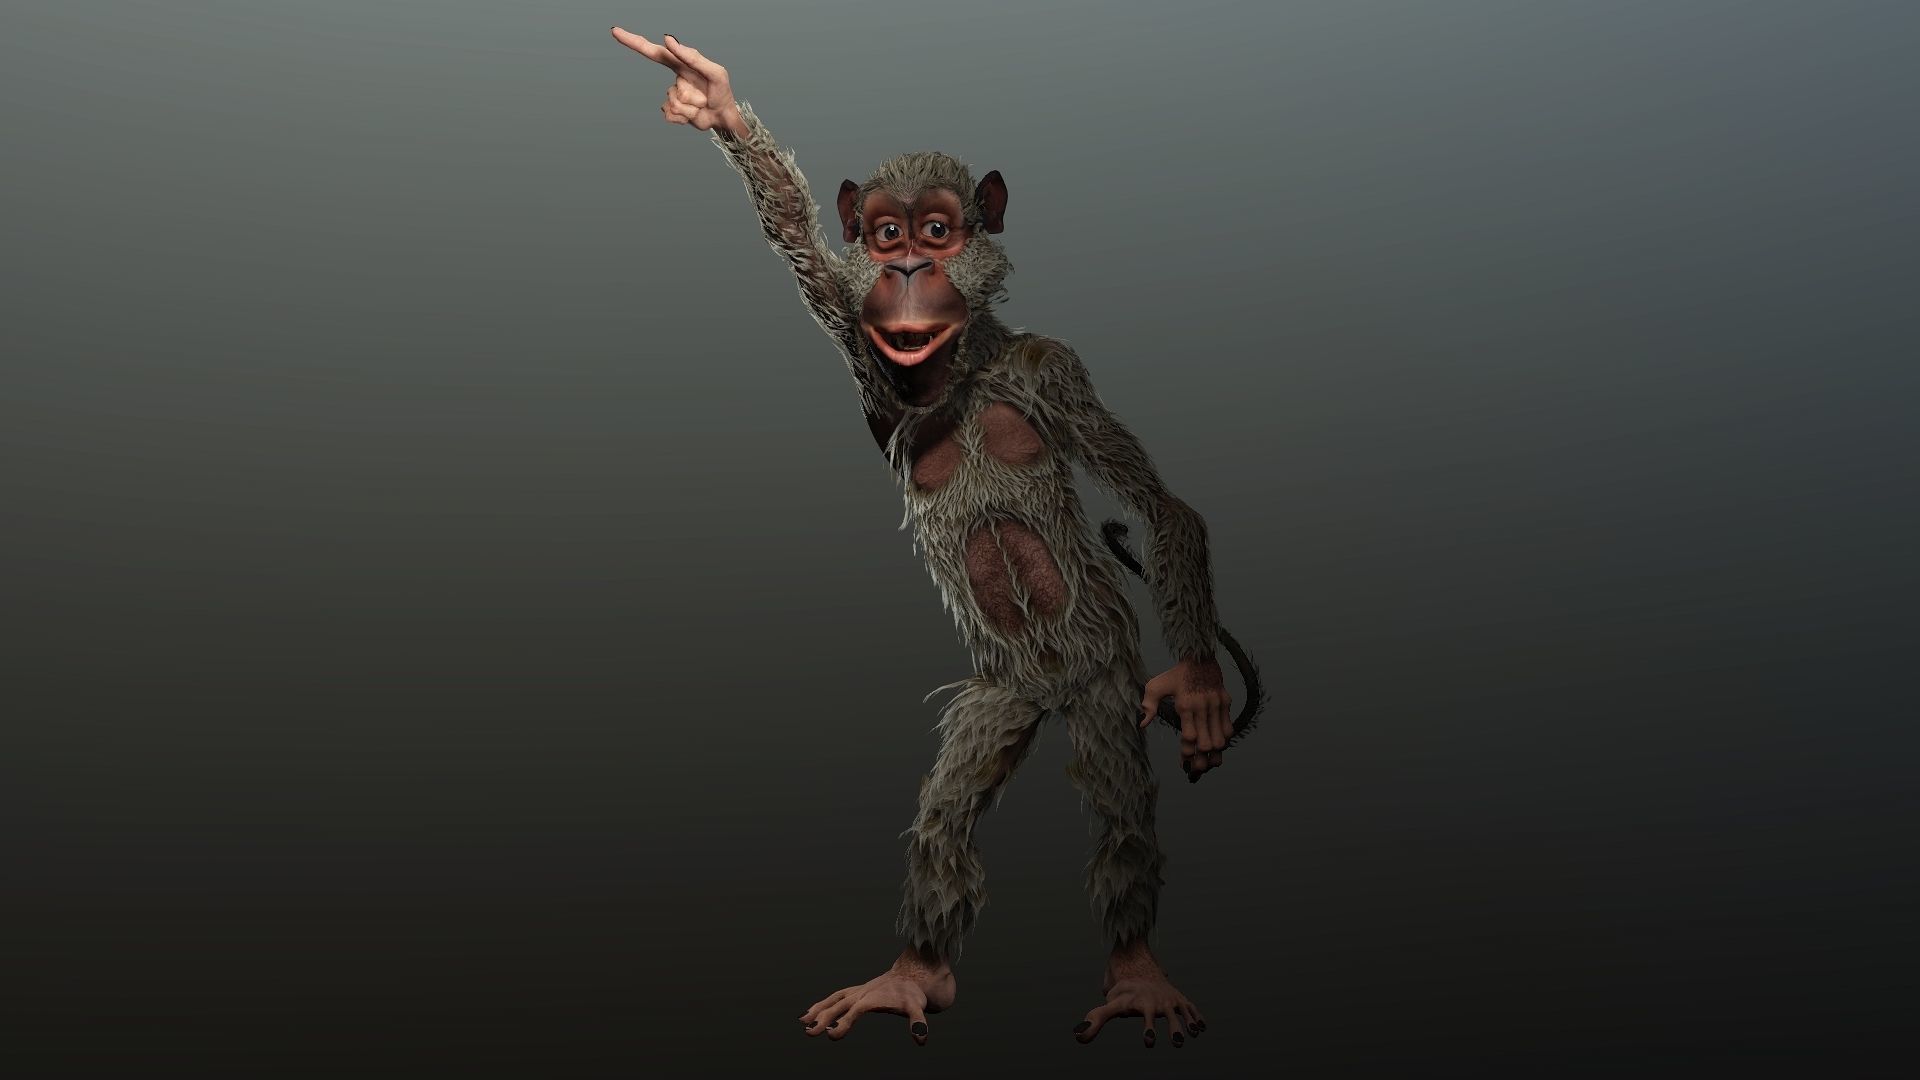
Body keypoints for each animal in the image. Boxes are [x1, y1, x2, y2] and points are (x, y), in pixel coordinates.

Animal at [611, 28, 1263, 1050]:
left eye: (940, 234)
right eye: (886, 237)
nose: (909, 273)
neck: (960, 371)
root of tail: (1045, 690)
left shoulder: (1056, 372)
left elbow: (1165, 510)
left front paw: (1196, 685)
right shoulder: (858, 340)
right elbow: (800, 242)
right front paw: (711, 102)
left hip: (1100, 675)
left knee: (1119, 799)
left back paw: (1134, 968)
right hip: (1000, 699)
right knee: (949, 810)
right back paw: (915, 973)